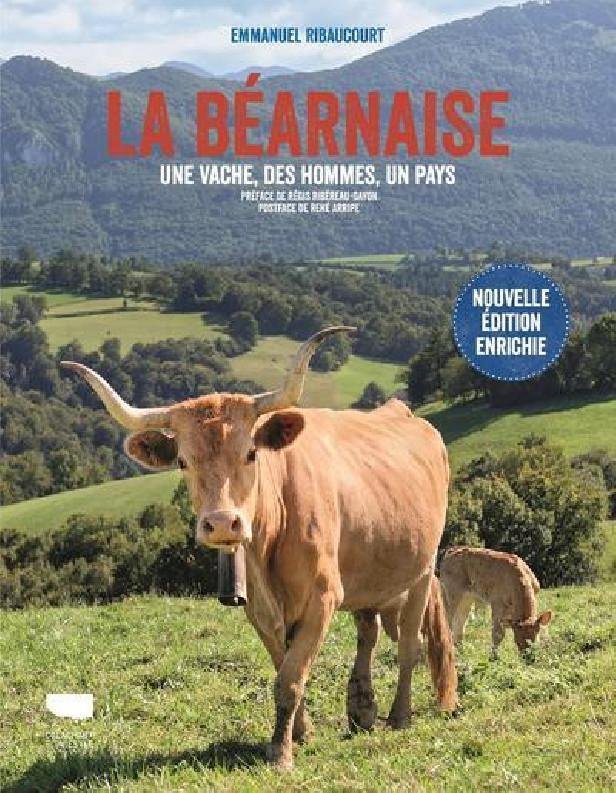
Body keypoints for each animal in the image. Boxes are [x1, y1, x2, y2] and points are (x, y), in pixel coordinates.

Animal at [62, 327, 457, 770]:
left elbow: (290, 677)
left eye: (250, 453)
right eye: (182, 461)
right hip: (369, 569)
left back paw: (399, 714)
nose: (221, 523)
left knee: (409, 645)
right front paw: (300, 733)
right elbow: (281, 665)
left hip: (421, 571)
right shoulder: (259, 608)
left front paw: (281, 751)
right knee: (367, 632)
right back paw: (361, 708)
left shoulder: (323, 597)